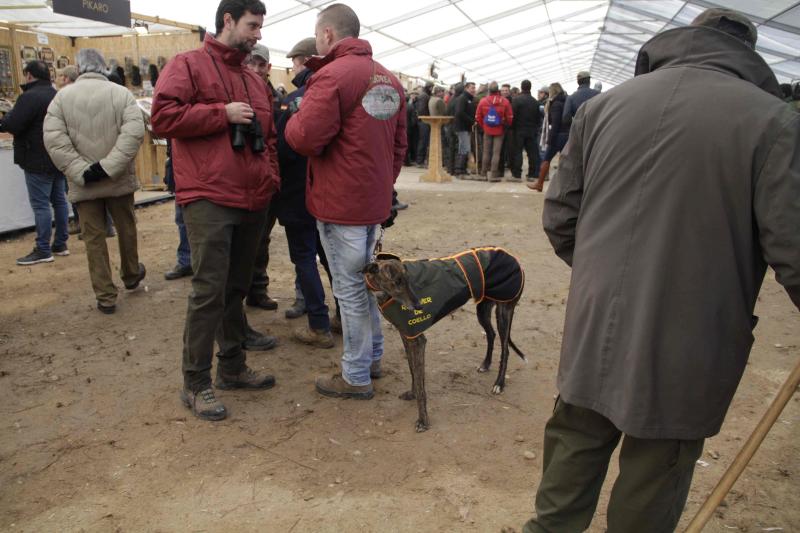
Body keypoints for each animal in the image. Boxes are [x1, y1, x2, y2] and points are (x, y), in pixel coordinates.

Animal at [362, 247, 524, 430]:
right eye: (396, 281)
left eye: (408, 280)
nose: (419, 306)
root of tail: (511, 256)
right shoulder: (407, 335)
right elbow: (413, 371)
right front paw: (412, 393)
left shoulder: (418, 340)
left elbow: (420, 383)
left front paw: (423, 421)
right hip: (483, 308)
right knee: (491, 334)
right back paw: (485, 364)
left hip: (504, 310)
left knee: (505, 348)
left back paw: (499, 383)